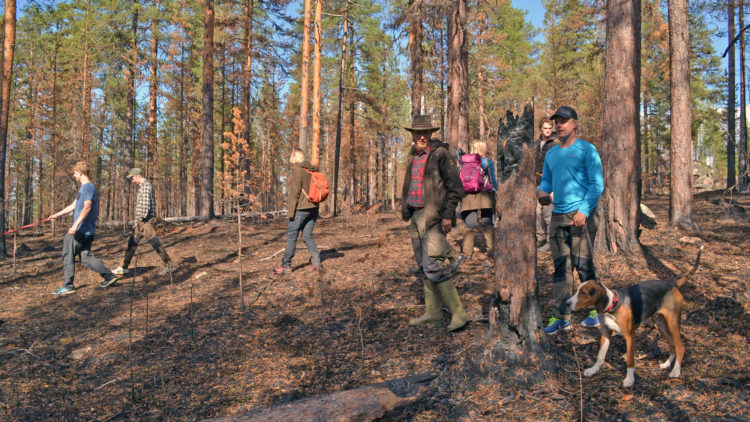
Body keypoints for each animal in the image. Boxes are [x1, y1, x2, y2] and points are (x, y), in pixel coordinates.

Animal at [564, 246, 704, 388]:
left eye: (583, 293)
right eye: (578, 291)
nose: (567, 303)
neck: (613, 306)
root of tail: (673, 285)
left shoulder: (630, 336)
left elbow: (630, 360)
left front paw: (630, 380)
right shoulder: (606, 333)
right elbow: (600, 356)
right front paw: (593, 370)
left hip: (672, 322)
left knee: (680, 347)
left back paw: (676, 371)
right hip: (660, 324)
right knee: (672, 345)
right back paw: (667, 364)